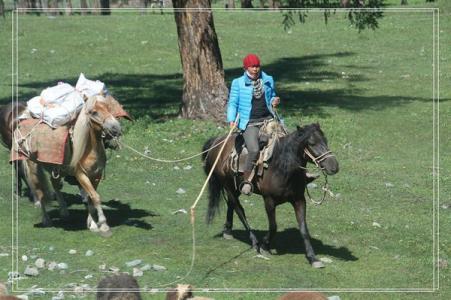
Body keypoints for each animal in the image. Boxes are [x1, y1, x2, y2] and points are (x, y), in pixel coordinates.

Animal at [202, 123, 340, 268]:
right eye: (312, 143)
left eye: (325, 141)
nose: (334, 166)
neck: (282, 168)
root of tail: (217, 142)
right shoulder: (269, 200)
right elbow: (273, 226)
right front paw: (264, 246)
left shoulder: (299, 200)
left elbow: (304, 229)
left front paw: (313, 258)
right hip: (228, 186)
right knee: (239, 210)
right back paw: (254, 242)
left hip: (235, 187)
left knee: (231, 205)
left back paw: (228, 231)